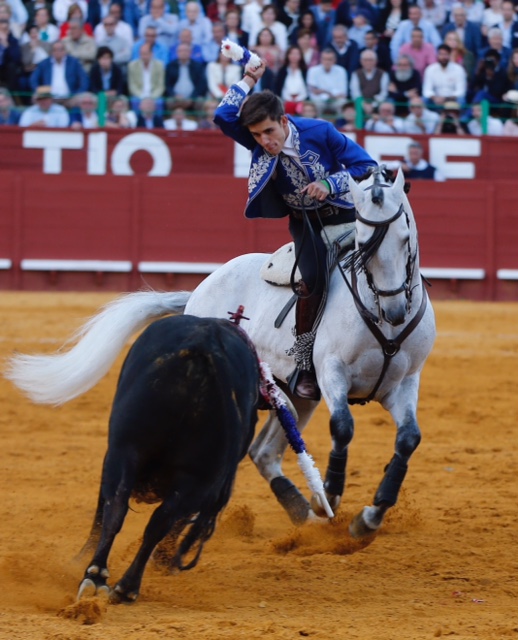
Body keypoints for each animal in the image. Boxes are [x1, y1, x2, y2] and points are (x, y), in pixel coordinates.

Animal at [6, 166, 436, 540]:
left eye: (404, 238)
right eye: (363, 244)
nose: (395, 310)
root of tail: (201, 288)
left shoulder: (405, 381)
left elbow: (409, 438)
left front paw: (370, 517)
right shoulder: (332, 372)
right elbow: (343, 427)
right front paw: (330, 494)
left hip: (296, 392)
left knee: (264, 452)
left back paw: (303, 515)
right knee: (251, 448)